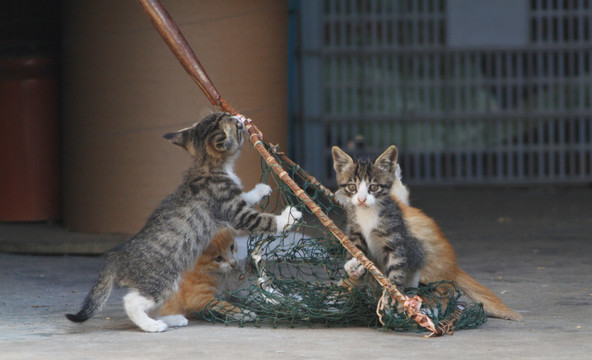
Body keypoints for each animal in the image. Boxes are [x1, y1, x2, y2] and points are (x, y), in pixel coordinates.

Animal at [66, 112, 300, 332]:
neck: (207, 166)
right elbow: (262, 220)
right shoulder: (233, 211)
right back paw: (152, 325)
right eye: (235, 125)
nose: (238, 117)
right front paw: (288, 217)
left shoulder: (233, 203)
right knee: (131, 301)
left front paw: (260, 190)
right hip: (162, 279)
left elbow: (246, 196)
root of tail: (117, 256)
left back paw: (170, 319)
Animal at [332, 145, 426, 288]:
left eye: (374, 187)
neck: (367, 213)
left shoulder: (396, 240)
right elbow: (356, 251)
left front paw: (392, 292)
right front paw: (353, 269)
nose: (361, 200)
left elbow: (396, 272)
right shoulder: (355, 230)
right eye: (352, 187)